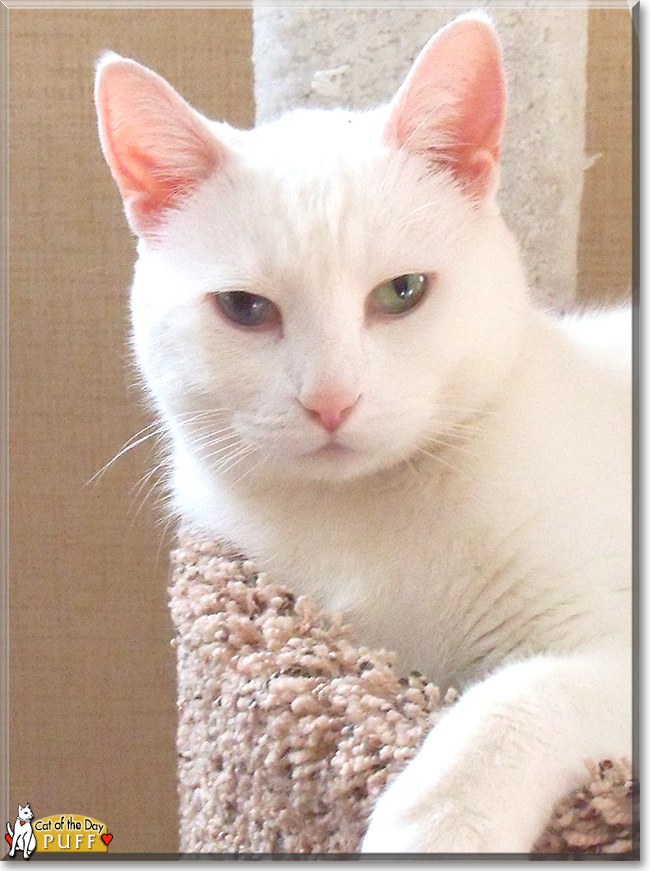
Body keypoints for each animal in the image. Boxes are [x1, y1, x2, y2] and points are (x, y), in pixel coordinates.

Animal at [96, 11, 628, 860]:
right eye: (244, 308)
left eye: (402, 292)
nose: (330, 400)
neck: (371, 519)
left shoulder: (604, 643)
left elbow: (515, 697)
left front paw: (433, 827)